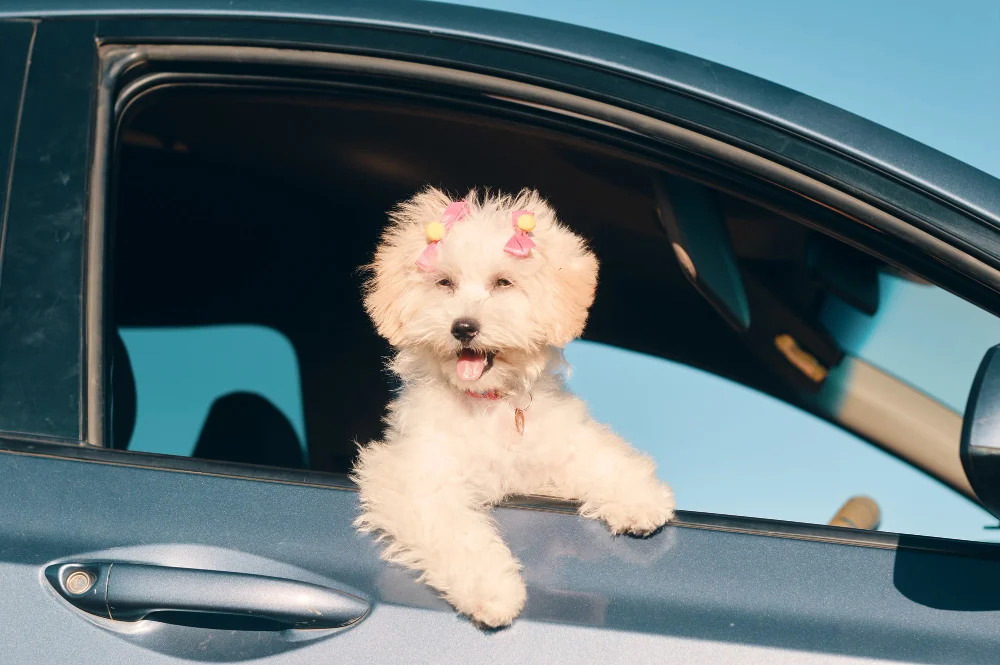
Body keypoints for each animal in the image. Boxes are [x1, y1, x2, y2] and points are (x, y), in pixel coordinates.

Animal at [356, 187, 676, 628]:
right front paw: (492, 591)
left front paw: (638, 500)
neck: (486, 403)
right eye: (444, 282)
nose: (463, 327)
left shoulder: (556, 442)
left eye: (503, 282)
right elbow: (457, 531)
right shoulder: (417, 475)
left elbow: (597, 456)